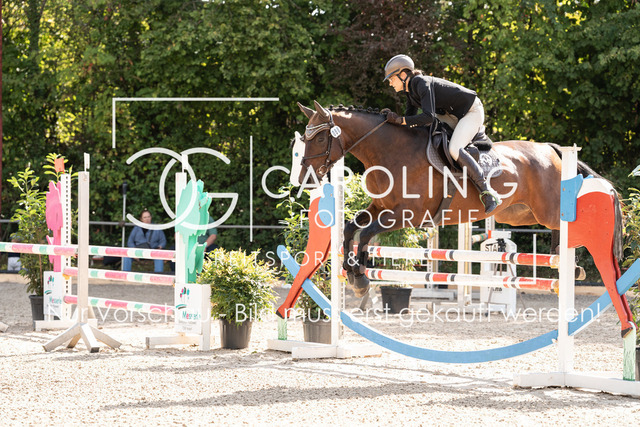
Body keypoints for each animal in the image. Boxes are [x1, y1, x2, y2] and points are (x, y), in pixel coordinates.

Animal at [292, 100, 634, 338]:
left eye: (319, 140)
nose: (306, 178)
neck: (389, 151)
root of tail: (550, 150)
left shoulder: (407, 215)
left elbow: (364, 234)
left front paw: (361, 278)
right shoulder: (380, 208)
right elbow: (351, 228)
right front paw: (354, 275)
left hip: (547, 208)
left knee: (572, 213)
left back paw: (576, 259)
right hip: (520, 214)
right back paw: (567, 262)